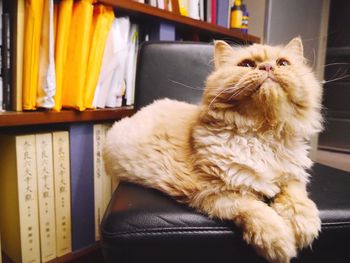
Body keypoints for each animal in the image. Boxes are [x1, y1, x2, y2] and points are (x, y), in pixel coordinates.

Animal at [103, 38, 322, 263]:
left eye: (283, 63)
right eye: (247, 65)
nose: (268, 67)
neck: (262, 134)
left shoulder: (293, 175)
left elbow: (297, 197)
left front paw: (304, 224)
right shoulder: (212, 193)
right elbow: (256, 210)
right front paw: (279, 240)